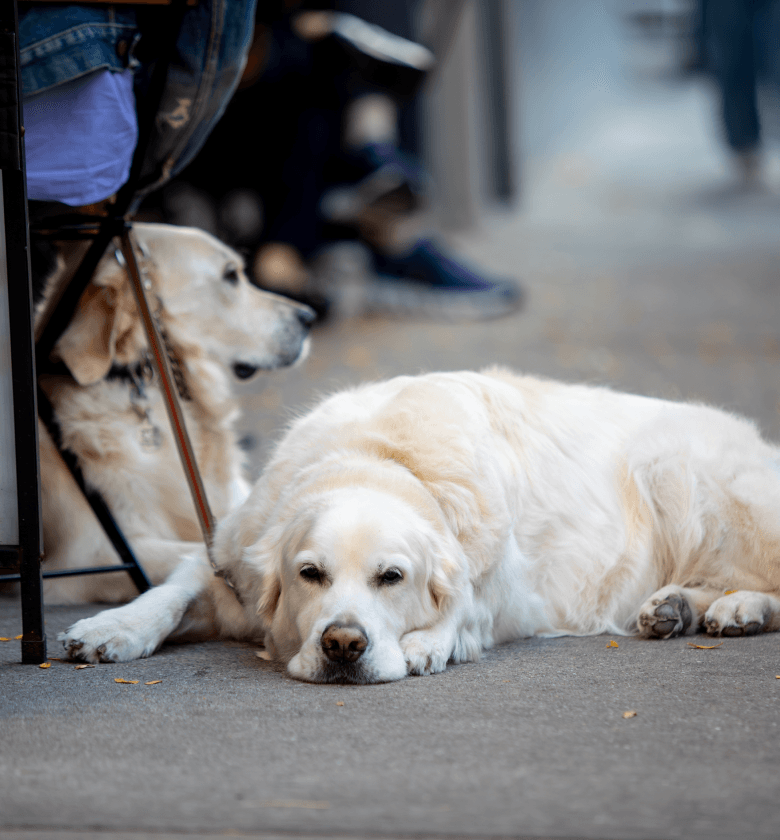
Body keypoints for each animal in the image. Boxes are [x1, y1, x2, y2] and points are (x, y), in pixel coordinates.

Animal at [61, 370, 780, 684]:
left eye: (392, 577)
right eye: (310, 574)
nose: (343, 645)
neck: (379, 457)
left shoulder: (510, 588)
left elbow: (467, 605)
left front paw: (430, 642)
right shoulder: (228, 554)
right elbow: (168, 592)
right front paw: (111, 629)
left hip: (678, 468)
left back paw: (738, 607)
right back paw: (678, 608)